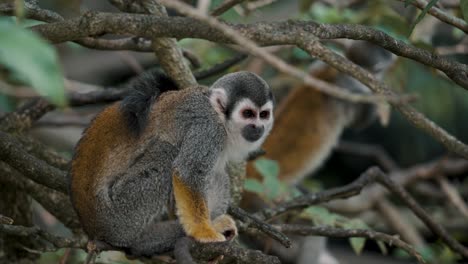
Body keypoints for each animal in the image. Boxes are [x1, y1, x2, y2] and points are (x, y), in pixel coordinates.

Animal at [69, 71, 274, 256]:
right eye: (247, 114)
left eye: (263, 115)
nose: (258, 127)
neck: (221, 120)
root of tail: (91, 226)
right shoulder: (208, 129)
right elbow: (188, 172)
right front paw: (204, 233)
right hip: (119, 217)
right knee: (169, 153)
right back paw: (142, 242)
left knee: (216, 173)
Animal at [241, 40, 394, 262]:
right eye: (382, 54)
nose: (390, 56)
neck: (331, 73)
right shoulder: (350, 90)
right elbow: (361, 121)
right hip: (262, 200)